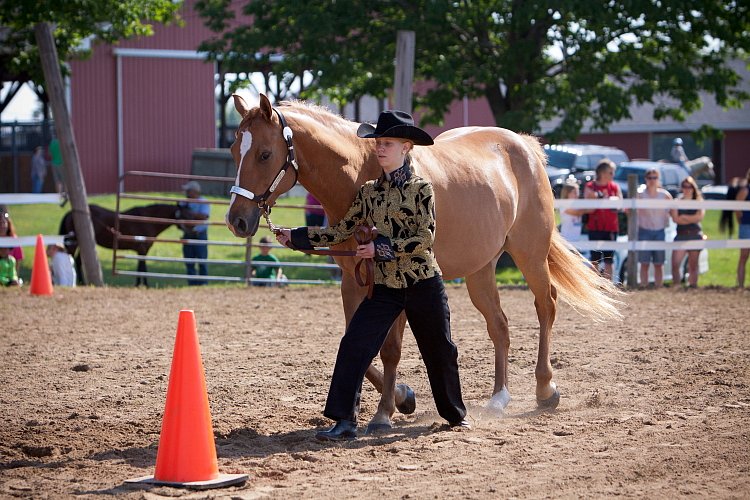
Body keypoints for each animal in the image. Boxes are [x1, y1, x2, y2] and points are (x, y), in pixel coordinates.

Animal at [226, 94, 624, 434]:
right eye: (233, 149)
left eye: (264, 153)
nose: (237, 220)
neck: (362, 173)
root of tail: (525, 146)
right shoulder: (353, 280)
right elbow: (355, 342)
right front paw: (402, 398)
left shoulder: (393, 282)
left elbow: (390, 349)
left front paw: (385, 412)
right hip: (481, 269)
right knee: (499, 325)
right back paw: (498, 399)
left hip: (530, 253)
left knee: (546, 305)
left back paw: (545, 390)